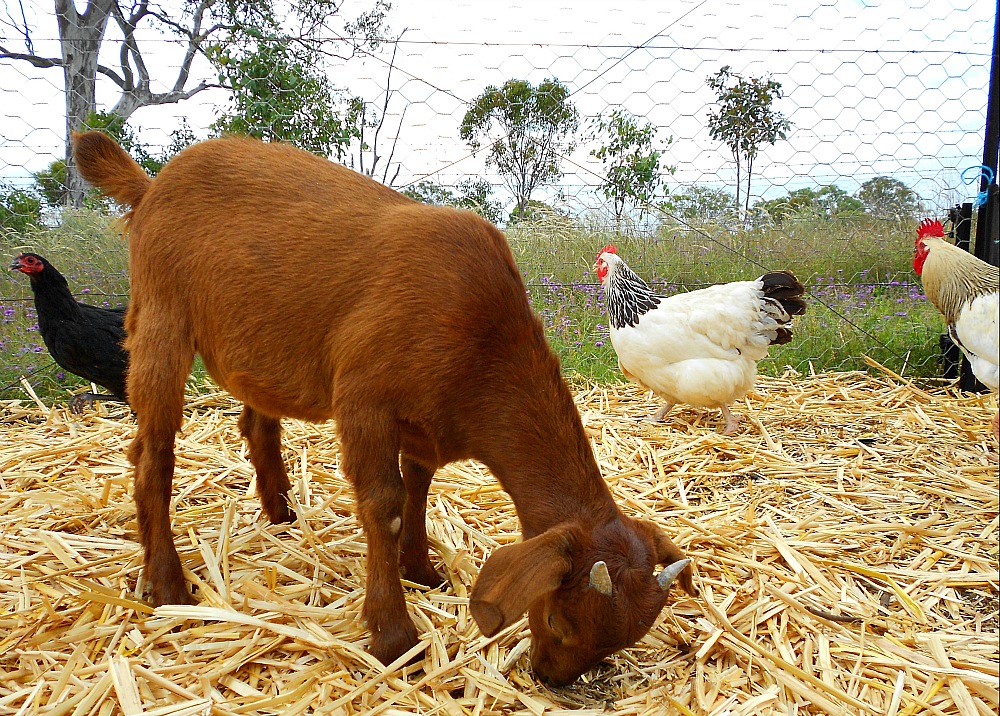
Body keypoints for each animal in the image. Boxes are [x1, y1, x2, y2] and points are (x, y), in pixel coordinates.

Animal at [74, 131, 696, 684]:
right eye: (563, 621)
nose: (551, 678)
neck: (482, 338)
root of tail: (151, 185)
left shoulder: (426, 422)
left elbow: (418, 488)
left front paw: (422, 570)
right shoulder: (363, 400)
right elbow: (384, 504)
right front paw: (395, 635)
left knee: (256, 420)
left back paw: (281, 513)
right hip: (160, 317)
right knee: (153, 452)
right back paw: (167, 584)